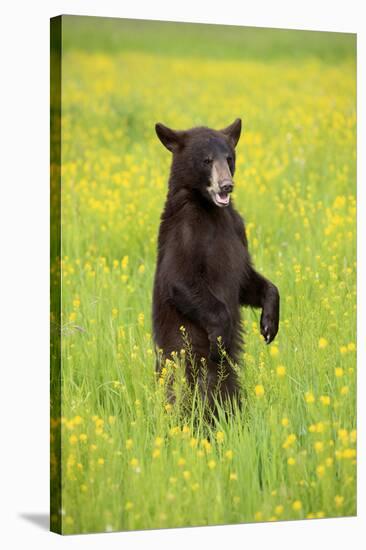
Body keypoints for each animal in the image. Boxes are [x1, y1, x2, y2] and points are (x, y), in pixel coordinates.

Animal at [152, 118, 280, 408]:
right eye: (207, 160)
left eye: (229, 157)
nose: (226, 185)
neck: (209, 209)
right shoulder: (184, 232)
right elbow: (179, 279)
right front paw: (220, 339)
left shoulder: (237, 230)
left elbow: (246, 280)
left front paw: (269, 324)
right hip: (184, 357)